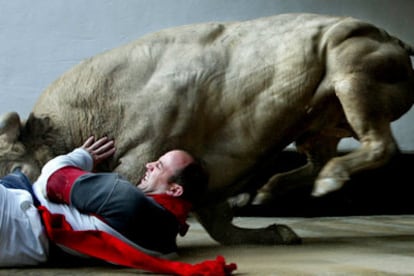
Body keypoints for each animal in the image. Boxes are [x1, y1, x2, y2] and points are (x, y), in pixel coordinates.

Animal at [0, 14, 414, 245]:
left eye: (16, 167)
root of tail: (393, 39)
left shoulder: (143, 153)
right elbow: (221, 227)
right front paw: (274, 231)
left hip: (351, 71)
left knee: (380, 144)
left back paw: (326, 182)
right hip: (320, 123)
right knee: (319, 156)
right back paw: (263, 195)